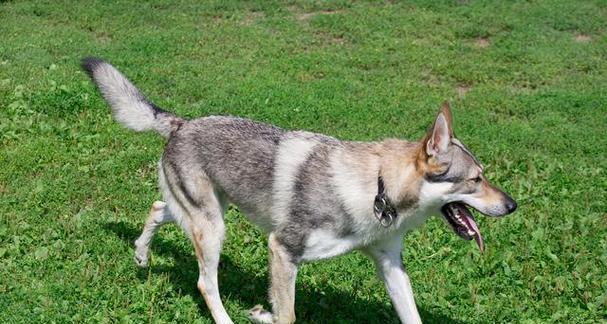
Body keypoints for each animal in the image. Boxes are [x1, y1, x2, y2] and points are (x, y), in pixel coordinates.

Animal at [81, 57, 516, 322]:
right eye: (476, 179)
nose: (512, 205)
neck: (375, 189)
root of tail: (181, 122)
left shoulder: (391, 265)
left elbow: (412, 315)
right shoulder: (282, 250)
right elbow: (286, 314)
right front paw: (263, 315)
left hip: (204, 214)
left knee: (157, 209)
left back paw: (141, 256)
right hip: (213, 228)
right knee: (206, 283)